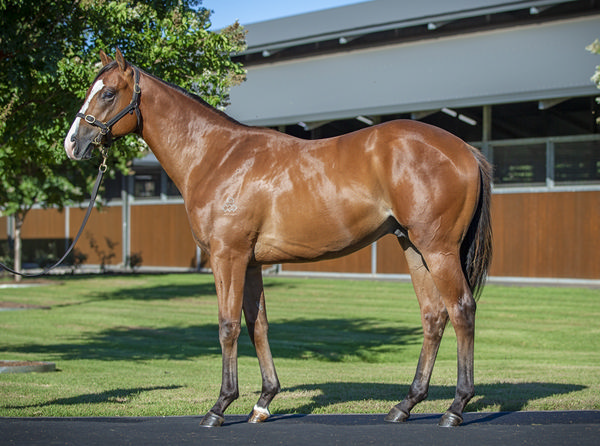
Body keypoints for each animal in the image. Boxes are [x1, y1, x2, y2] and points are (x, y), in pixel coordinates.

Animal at [64, 49, 492, 428]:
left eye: (107, 92)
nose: (72, 143)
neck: (218, 158)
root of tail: (465, 149)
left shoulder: (228, 257)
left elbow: (228, 326)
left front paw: (220, 406)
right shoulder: (251, 262)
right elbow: (258, 325)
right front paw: (263, 402)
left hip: (438, 250)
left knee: (462, 310)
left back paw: (455, 407)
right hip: (413, 248)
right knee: (433, 316)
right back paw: (405, 404)